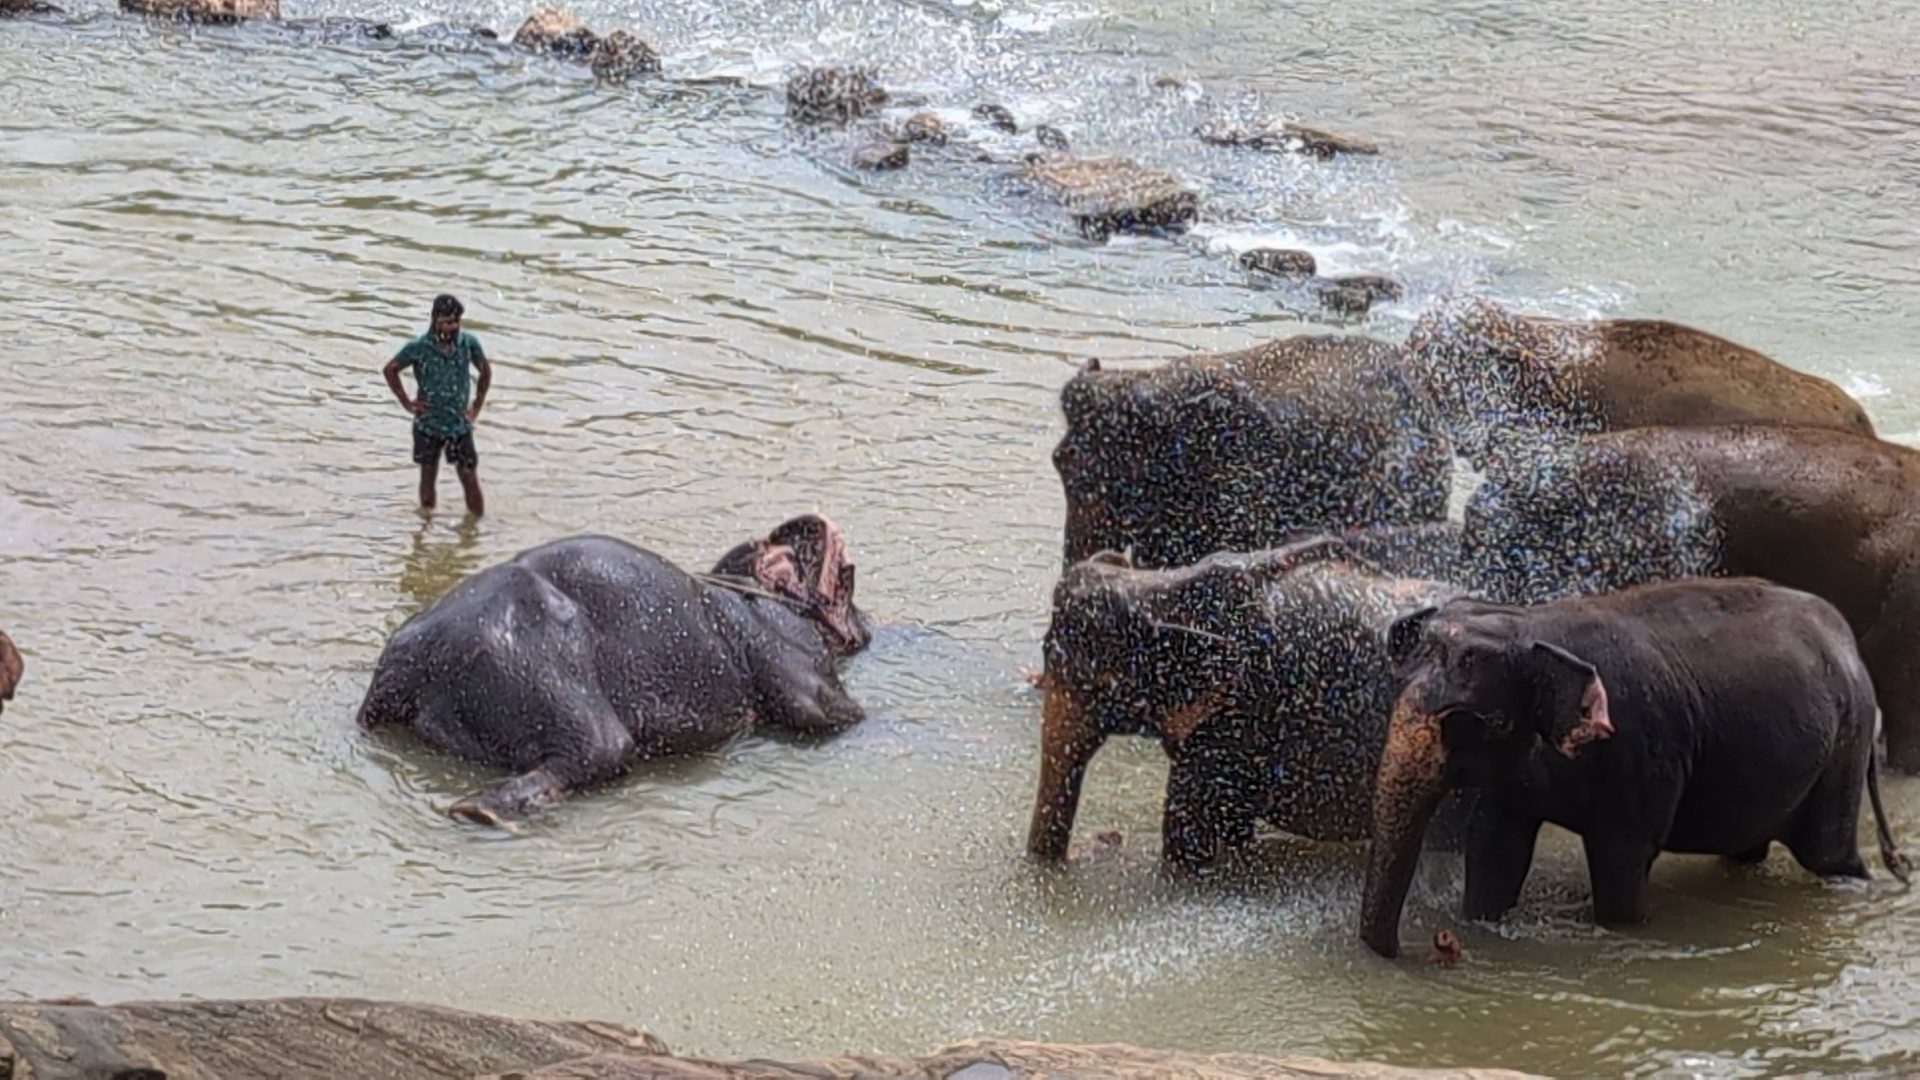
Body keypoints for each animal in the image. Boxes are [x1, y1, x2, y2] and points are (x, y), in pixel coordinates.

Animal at [356, 514, 871, 826]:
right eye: (842, 576)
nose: (804, 523)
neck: (743, 582)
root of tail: (417, 663)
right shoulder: (793, 657)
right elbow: (833, 711)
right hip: (552, 691)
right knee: (588, 755)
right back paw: (477, 811)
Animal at [1360, 577, 1908, 959]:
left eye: (1487, 721)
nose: (1439, 944)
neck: (1532, 624)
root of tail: (1852, 647)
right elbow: (1495, 845)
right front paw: (1480, 922)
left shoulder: (1639, 751)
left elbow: (1621, 858)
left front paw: (1618, 929)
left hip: (1845, 745)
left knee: (1828, 856)